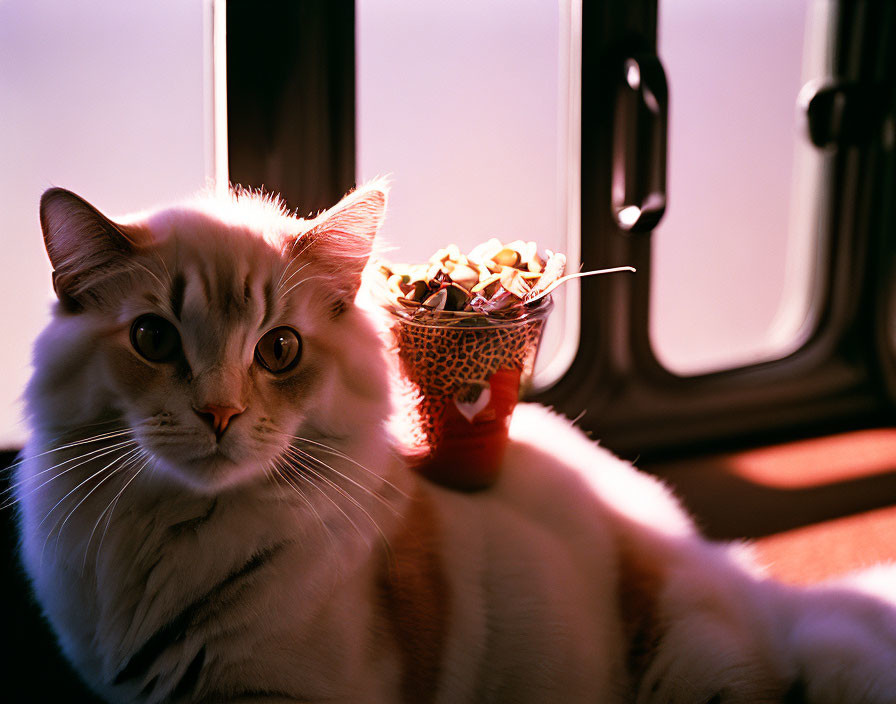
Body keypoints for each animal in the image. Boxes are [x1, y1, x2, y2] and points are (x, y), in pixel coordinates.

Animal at [10, 183, 896, 704]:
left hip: (692, 669)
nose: (220, 415)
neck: (179, 537)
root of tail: (748, 584)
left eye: (279, 350)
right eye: (153, 339)